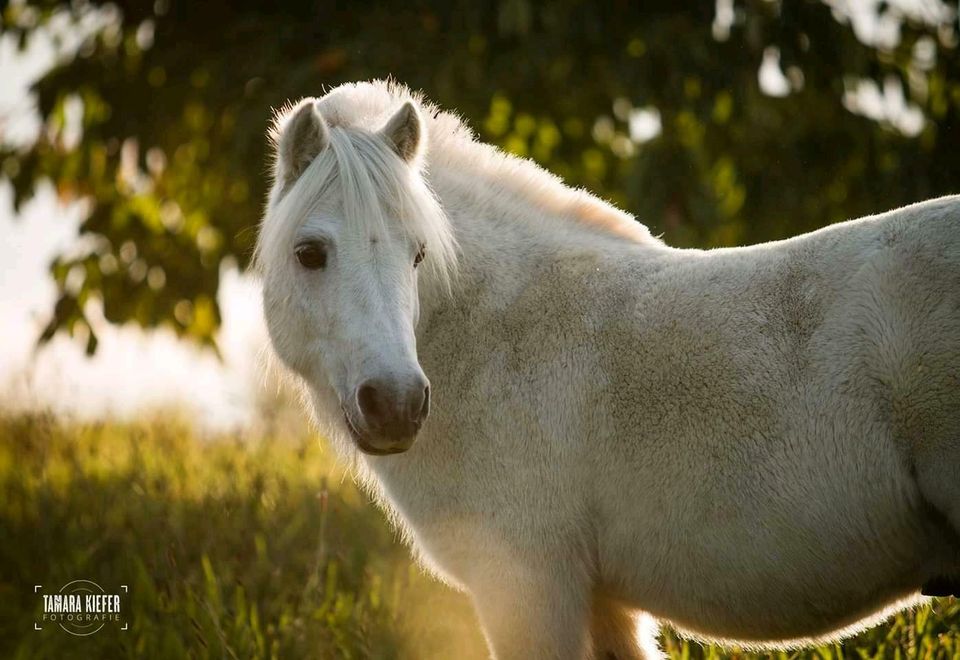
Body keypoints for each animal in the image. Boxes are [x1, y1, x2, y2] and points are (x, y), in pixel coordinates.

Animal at [255, 80, 960, 656]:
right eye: (310, 253)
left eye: (419, 254)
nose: (396, 405)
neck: (500, 340)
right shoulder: (601, 603)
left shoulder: (529, 588)